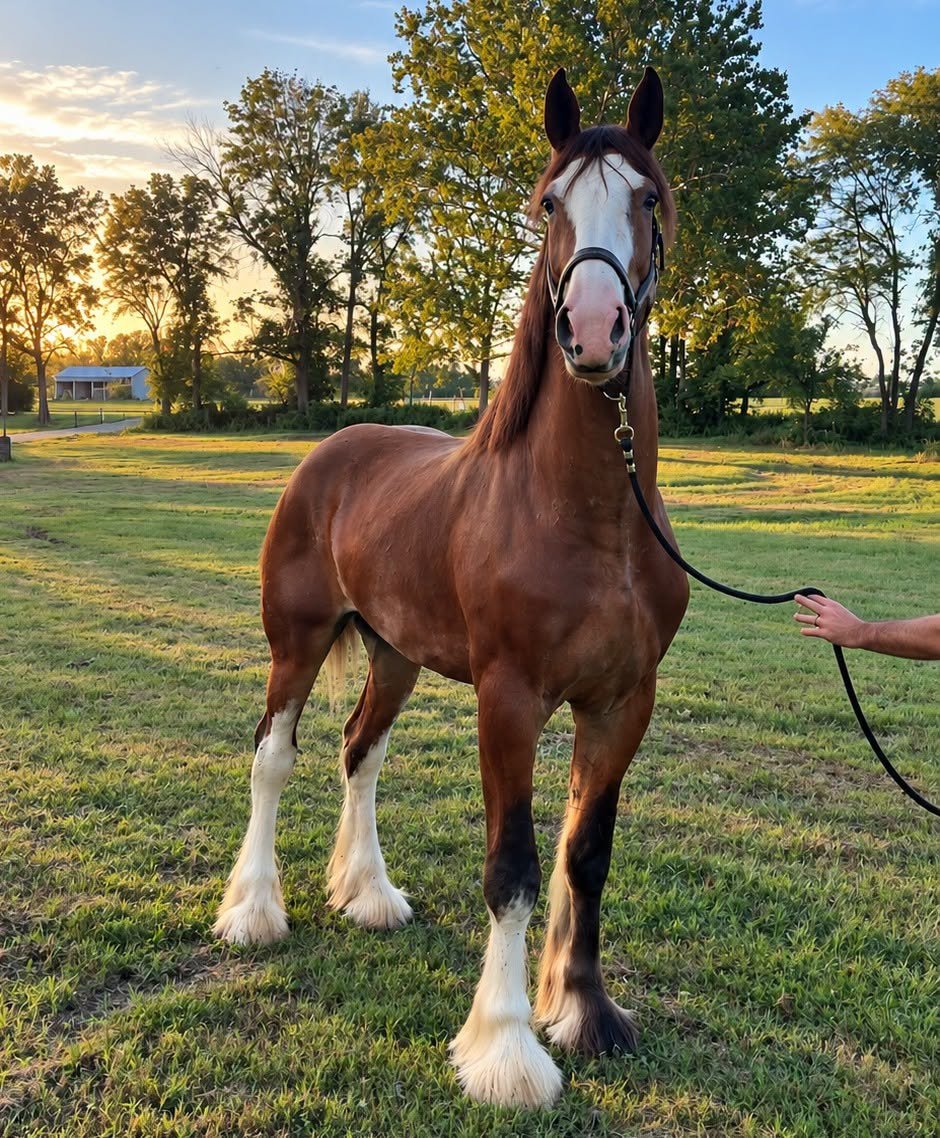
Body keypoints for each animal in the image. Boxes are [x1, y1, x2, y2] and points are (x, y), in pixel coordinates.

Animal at [214, 65, 689, 1109]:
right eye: (550, 203)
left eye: (647, 199)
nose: (592, 331)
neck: (587, 517)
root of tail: (330, 454)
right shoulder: (509, 701)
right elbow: (512, 865)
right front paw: (505, 1048)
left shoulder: (620, 703)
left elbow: (585, 855)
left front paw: (584, 1013)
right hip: (296, 644)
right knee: (274, 756)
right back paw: (254, 912)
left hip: (392, 657)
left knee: (359, 752)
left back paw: (370, 895)